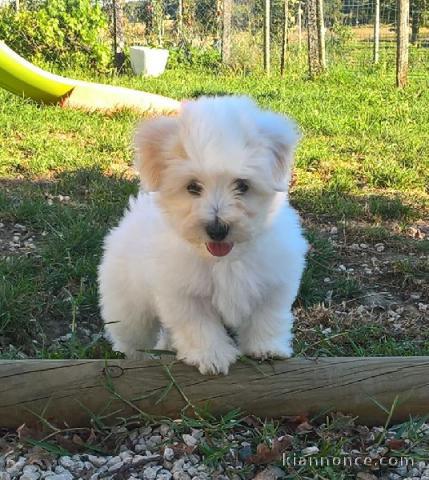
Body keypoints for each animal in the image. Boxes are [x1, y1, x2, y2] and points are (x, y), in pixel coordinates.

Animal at [98, 96, 306, 376]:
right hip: (127, 304)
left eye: (242, 185)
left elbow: (267, 316)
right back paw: (139, 359)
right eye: (193, 187)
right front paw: (212, 355)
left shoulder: (272, 282)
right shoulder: (184, 294)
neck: (224, 259)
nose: (217, 229)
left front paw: (266, 348)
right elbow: (199, 327)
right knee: (131, 336)